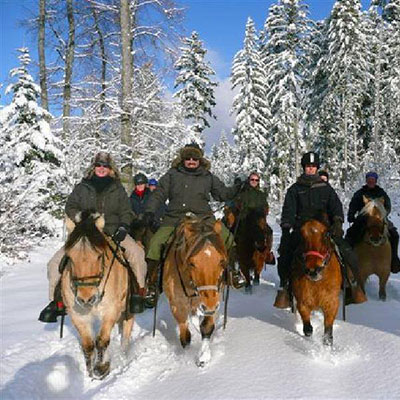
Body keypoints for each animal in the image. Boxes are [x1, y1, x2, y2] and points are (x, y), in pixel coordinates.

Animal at [60, 211, 133, 380]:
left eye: (99, 256)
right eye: (70, 257)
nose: (86, 299)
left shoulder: (111, 310)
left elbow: (102, 340)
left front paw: (102, 368)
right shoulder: (78, 316)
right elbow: (88, 345)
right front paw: (90, 373)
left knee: (127, 328)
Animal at [161, 214, 227, 368]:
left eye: (221, 261)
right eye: (191, 263)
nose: (210, 306)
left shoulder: (210, 300)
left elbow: (207, 327)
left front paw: (204, 357)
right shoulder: (177, 305)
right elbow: (185, 336)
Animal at [292, 216, 342, 346]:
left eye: (326, 234)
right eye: (301, 235)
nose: (313, 270)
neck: (318, 283)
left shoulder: (332, 303)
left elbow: (328, 334)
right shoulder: (303, 302)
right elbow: (308, 329)